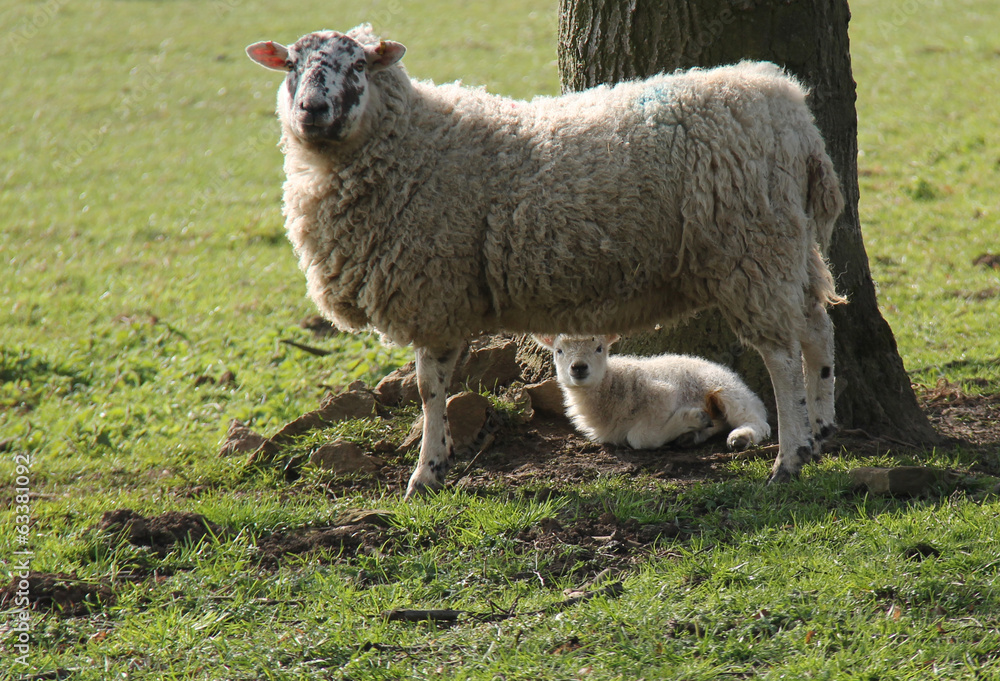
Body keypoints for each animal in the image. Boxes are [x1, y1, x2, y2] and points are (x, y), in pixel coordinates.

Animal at [535, 334, 770, 451]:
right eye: (559, 351)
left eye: (599, 348)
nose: (579, 367)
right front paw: (692, 424)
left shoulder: (663, 396)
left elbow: (640, 437)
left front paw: (691, 418)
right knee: (721, 422)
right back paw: (692, 436)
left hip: (726, 390)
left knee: (758, 421)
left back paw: (741, 437)